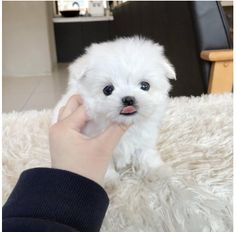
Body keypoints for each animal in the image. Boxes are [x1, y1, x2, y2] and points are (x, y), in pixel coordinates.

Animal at [53, 36, 175, 180]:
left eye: (145, 86)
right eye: (108, 90)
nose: (128, 99)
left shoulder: (144, 140)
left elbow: (147, 155)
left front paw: (158, 171)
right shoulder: (98, 147)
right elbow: (105, 165)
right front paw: (110, 181)